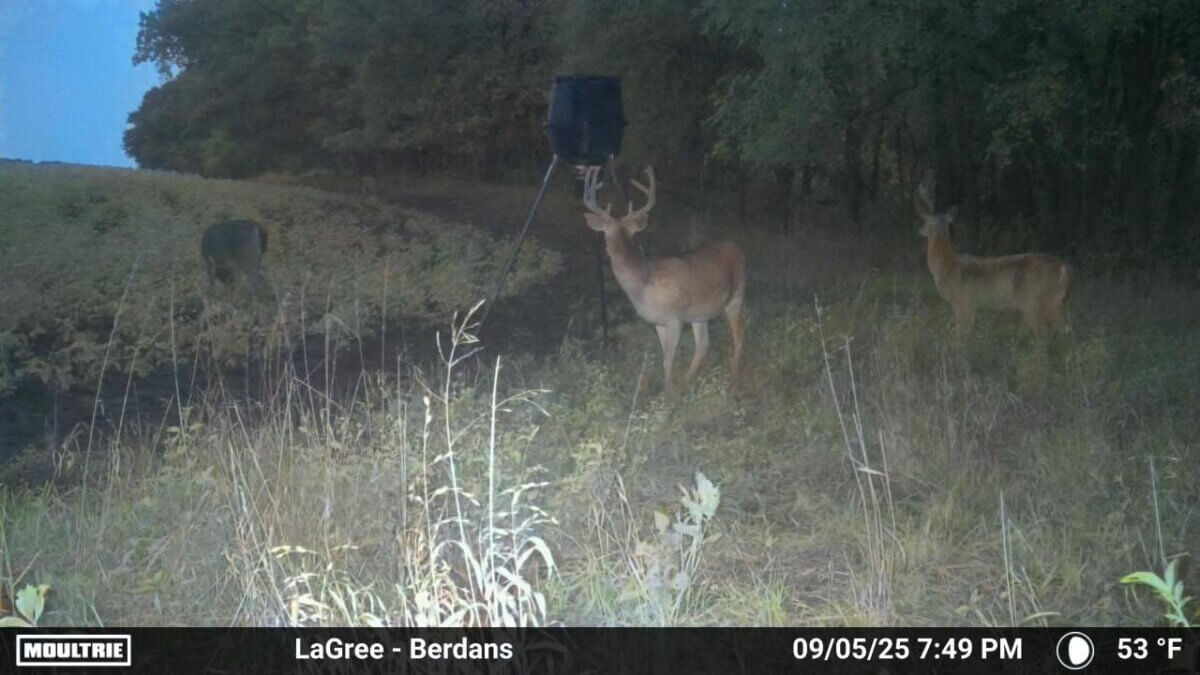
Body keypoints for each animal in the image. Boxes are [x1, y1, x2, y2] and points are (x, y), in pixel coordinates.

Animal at [581, 165, 746, 404]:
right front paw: (670, 393)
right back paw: (687, 384)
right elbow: (664, 359)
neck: (642, 283)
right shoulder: (657, 322)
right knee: (703, 345)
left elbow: (668, 360)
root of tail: (739, 248)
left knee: (739, 338)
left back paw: (733, 387)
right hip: (700, 313)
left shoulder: (674, 318)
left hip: (737, 296)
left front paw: (668, 401)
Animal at [916, 184, 1071, 350]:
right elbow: (969, 331)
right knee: (1066, 332)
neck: (946, 265)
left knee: (1043, 336)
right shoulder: (971, 305)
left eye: (924, 221)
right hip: (1057, 301)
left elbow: (962, 333)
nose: (920, 230)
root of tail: (1062, 267)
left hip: (1034, 302)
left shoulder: (961, 300)